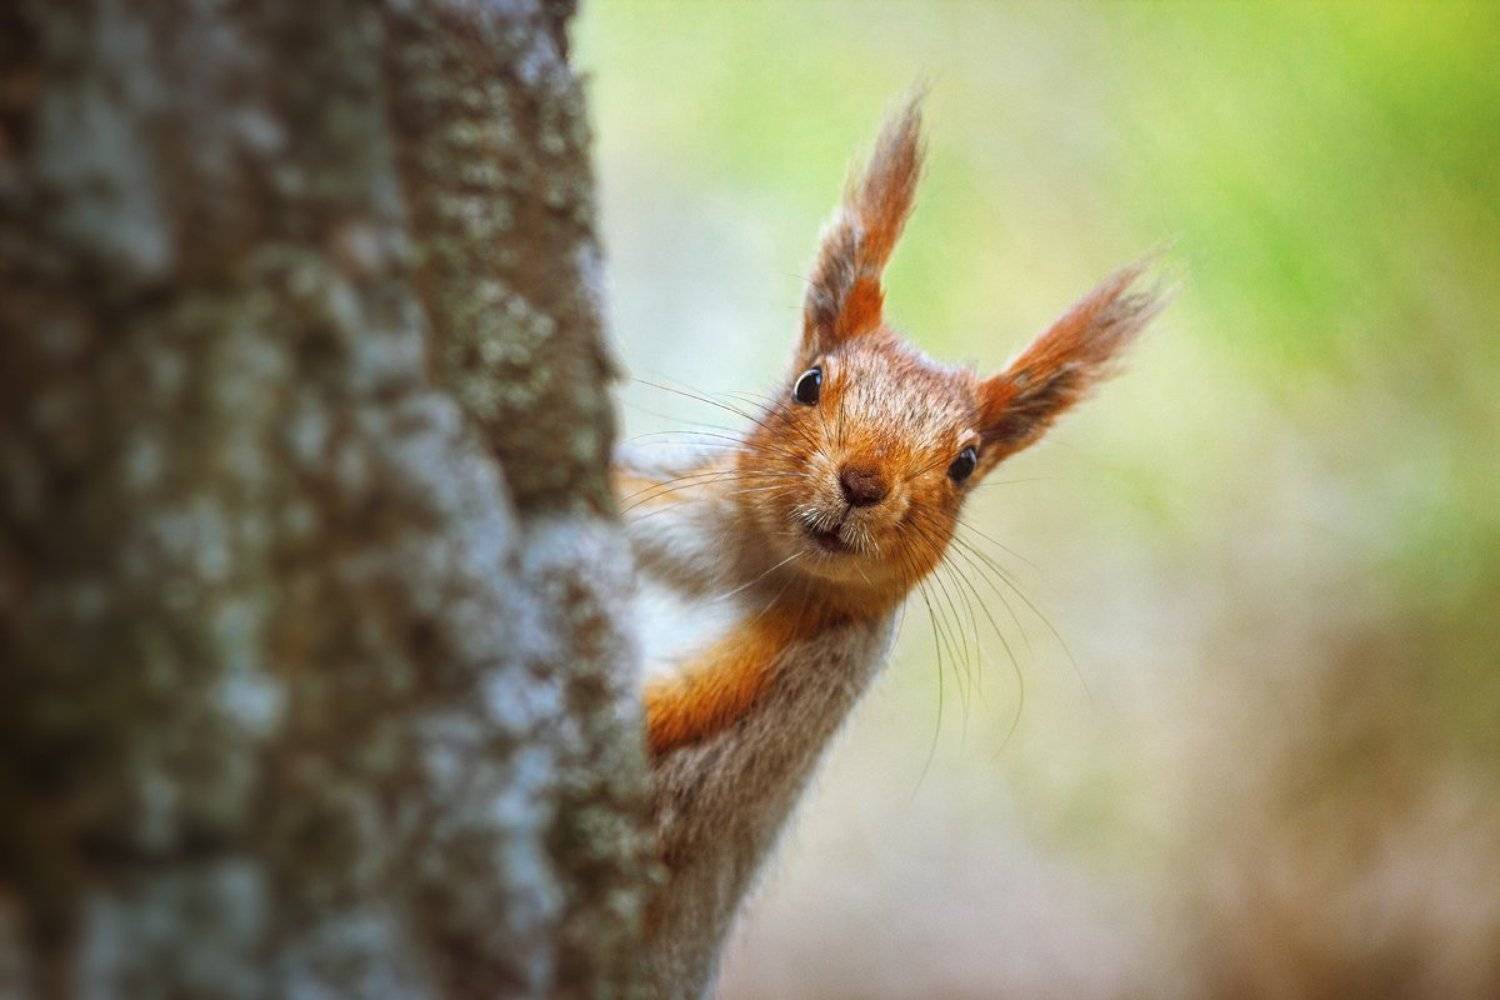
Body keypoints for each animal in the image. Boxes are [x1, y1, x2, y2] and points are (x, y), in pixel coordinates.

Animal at [616, 96, 1165, 997]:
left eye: (966, 464)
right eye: (809, 383)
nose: (864, 481)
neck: (735, 561)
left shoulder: (788, 684)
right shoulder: (658, 503)